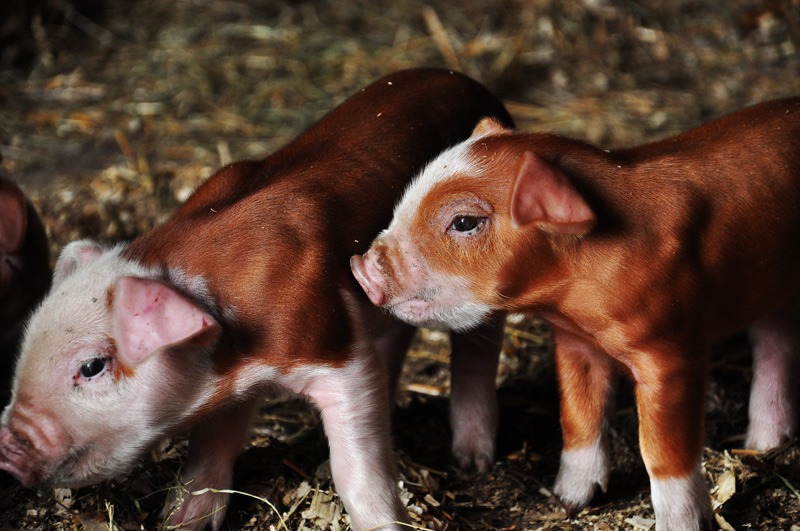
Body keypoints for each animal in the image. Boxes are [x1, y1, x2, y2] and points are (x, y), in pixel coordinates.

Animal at [0, 68, 514, 530]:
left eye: (92, 367)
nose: (6, 445)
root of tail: (473, 85)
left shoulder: (334, 351)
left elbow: (356, 472)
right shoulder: (229, 384)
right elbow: (211, 449)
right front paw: (182, 521)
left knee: (478, 350)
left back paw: (472, 461)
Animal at [351, 99, 800, 531]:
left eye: (464, 221)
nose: (360, 266)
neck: (575, 303)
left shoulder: (673, 351)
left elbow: (662, 449)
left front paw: (682, 525)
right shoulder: (575, 343)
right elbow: (578, 418)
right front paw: (567, 501)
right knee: (776, 347)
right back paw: (764, 445)